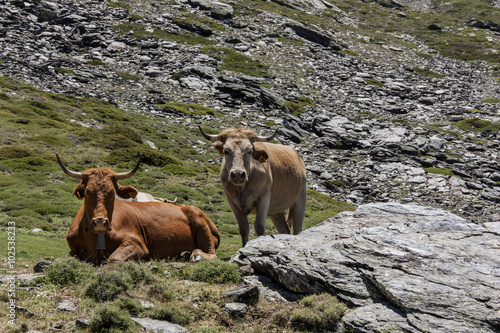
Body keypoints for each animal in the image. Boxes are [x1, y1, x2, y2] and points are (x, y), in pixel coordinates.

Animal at [56, 154, 219, 264]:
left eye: (112, 193)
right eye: (87, 193)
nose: (100, 222)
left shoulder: (136, 243)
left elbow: (113, 258)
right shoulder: (73, 250)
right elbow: (68, 257)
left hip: (200, 222)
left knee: (210, 253)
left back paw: (196, 255)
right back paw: (184, 254)